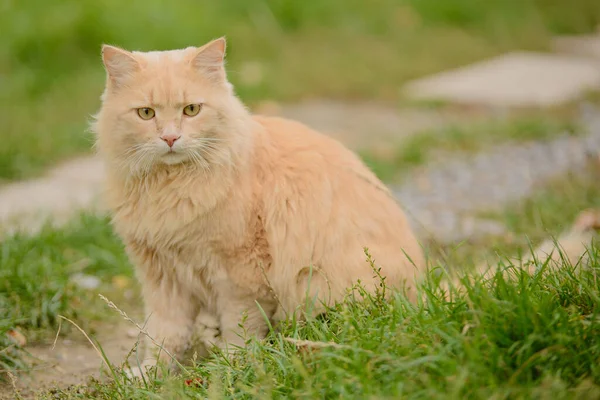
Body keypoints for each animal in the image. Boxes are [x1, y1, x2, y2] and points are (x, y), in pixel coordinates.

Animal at [91, 36, 424, 376]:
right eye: (146, 113)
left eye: (191, 110)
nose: (170, 138)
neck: (172, 189)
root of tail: (422, 291)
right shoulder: (162, 278)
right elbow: (163, 335)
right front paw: (152, 374)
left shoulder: (240, 272)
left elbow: (240, 326)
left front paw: (230, 365)